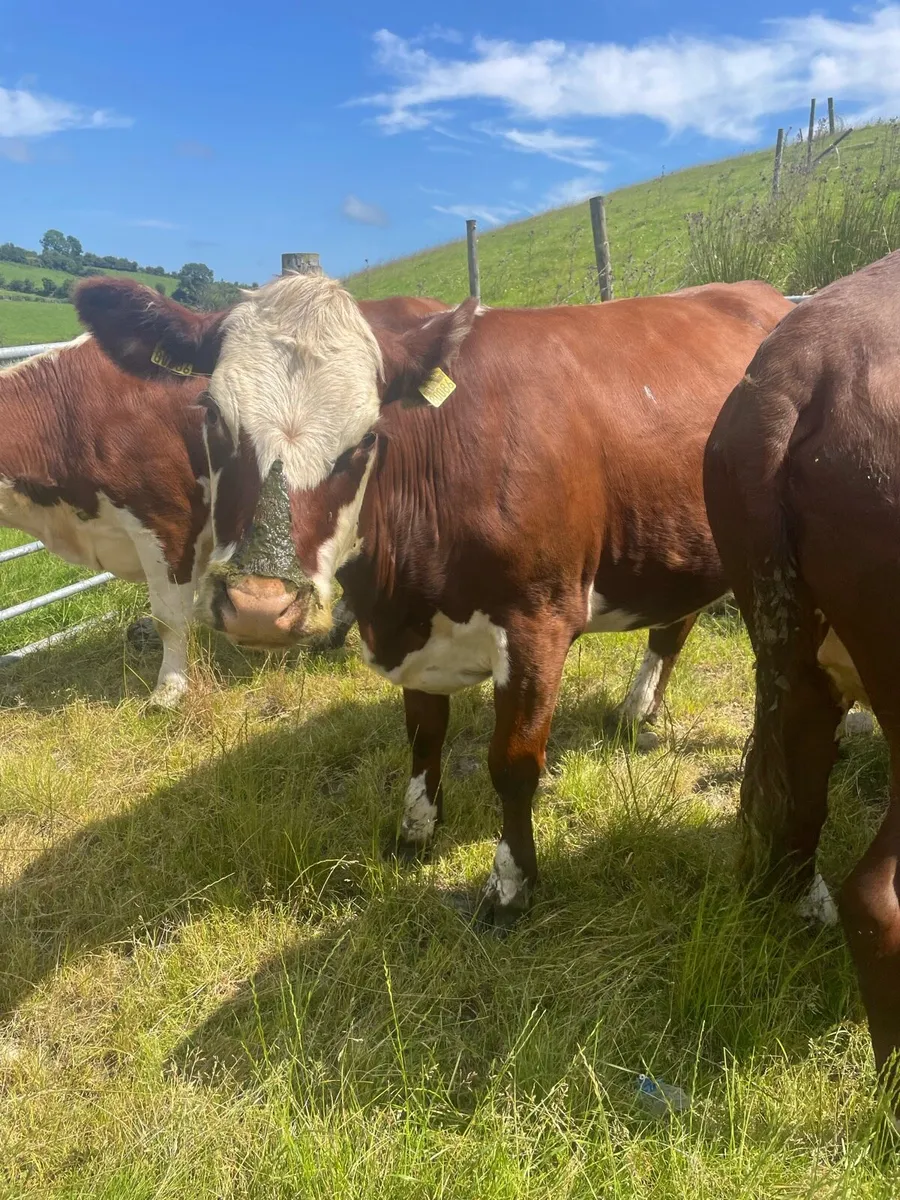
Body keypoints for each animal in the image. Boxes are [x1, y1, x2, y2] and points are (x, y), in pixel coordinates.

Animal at [75, 272, 792, 928]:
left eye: (368, 436)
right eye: (213, 418)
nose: (259, 604)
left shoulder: (538, 622)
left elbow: (513, 764)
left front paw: (510, 885)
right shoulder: (416, 635)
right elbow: (423, 733)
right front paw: (416, 829)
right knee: (675, 623)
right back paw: (636, 710)